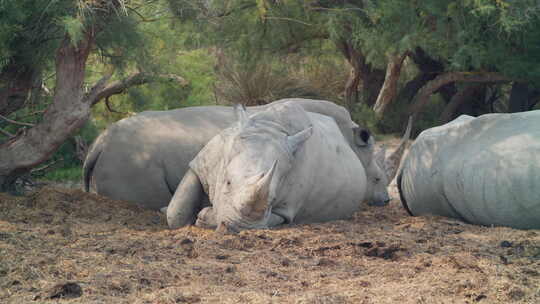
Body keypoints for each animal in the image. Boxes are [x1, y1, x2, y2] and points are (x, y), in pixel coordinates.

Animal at [167, 102, 408, 230]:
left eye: (273, 199)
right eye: (226, 182)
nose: (239, 227)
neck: (270, 128)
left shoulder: (286, 208)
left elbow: (273, 218)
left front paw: (205, 217)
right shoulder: (201, 163)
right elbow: (175, 213)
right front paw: (198, 216)